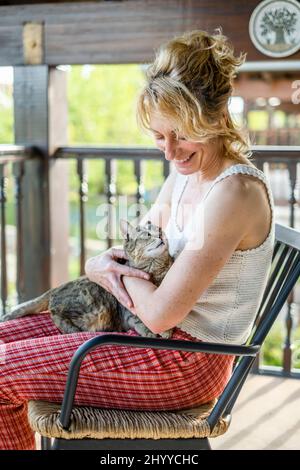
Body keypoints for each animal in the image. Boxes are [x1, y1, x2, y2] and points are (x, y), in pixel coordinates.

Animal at [1, 220, 173, 338]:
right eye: (148, 235)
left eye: (160, 230)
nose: (161, 235)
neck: (156, 270)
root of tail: (58, 287)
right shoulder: (128, 311)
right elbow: (141, 322)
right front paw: (156, 332)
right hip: (94, 304)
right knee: (55, 312)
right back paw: (72, 329)